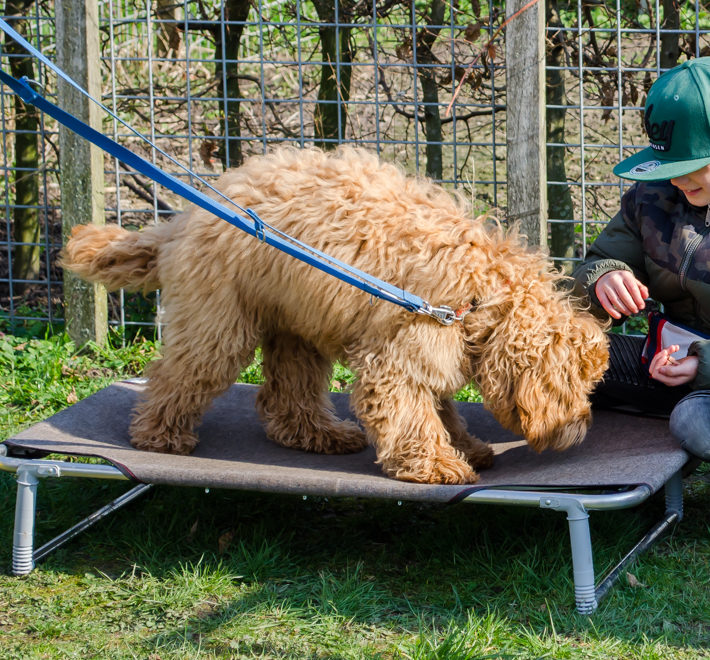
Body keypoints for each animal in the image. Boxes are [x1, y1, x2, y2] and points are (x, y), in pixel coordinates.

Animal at [58, 144, 608, 484]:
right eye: (576, 385)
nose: (585, 422)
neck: (483, 291)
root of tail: (184, 219)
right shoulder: (402, 354)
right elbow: (411, 412)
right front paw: (437, 463)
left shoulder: (428, 348)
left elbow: (441, 406)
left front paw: (464, 446)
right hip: (217, 322)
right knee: (180, 375)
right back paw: (160, 435)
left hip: (293, 322)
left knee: (286, 394)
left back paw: (318, 435)